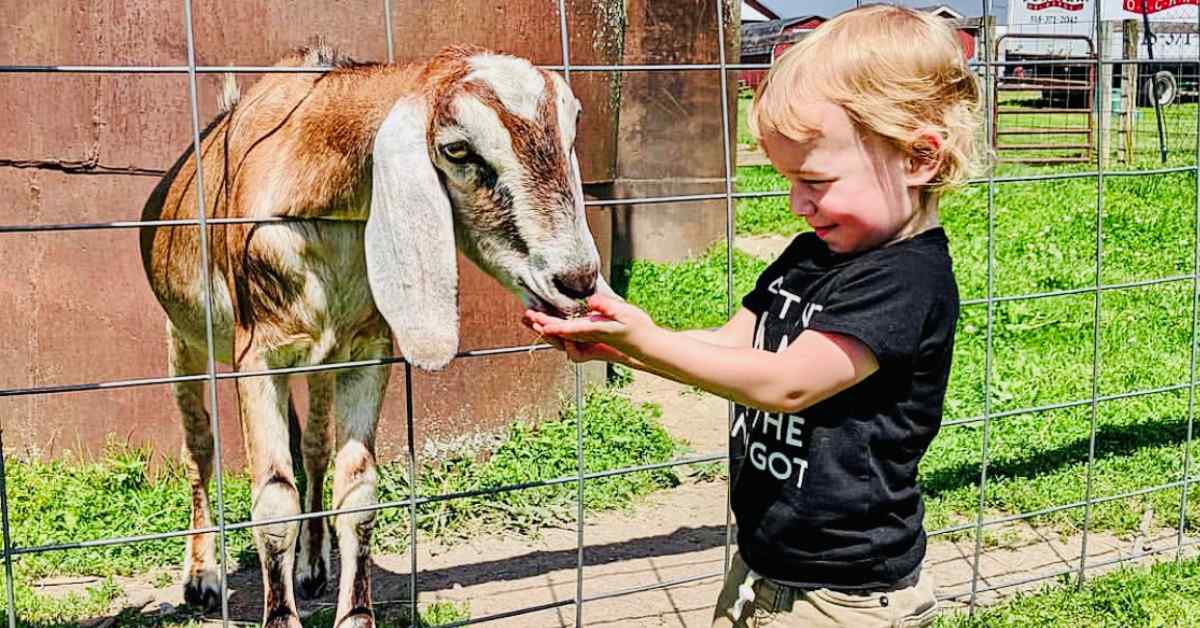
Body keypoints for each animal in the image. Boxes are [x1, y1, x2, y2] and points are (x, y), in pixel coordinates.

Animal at [139, 42, 608, 628]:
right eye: (457, 149)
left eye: (571, 130)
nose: (577, 279)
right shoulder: (258, 355)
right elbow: (273, 498)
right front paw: (278, 615)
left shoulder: (365, 352)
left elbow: (358, 491)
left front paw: (353, 612)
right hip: (183, 339)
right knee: (200, 447)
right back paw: (203, 577)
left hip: (321, 361)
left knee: (315, 446)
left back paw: (312, 566)